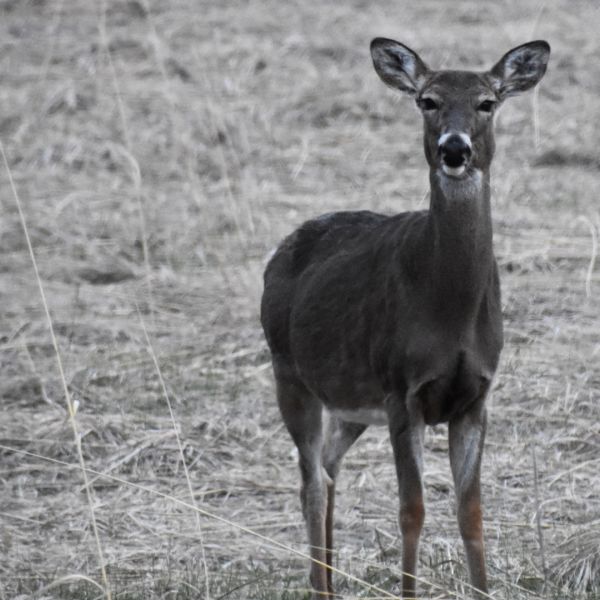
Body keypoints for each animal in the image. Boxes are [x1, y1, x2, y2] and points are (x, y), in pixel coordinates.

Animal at [260, 39, 552, 596]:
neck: (450, 309)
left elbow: (471, 513)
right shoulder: (402, 391)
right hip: (290, 373)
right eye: (427, 100)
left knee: (328, 467)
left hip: (351, 401)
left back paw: (331, 578)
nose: (454, 149)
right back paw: (320, 585)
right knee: (310, 482)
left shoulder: (475, 397)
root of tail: (281, 250)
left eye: (487, 102)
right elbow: (411, 511)